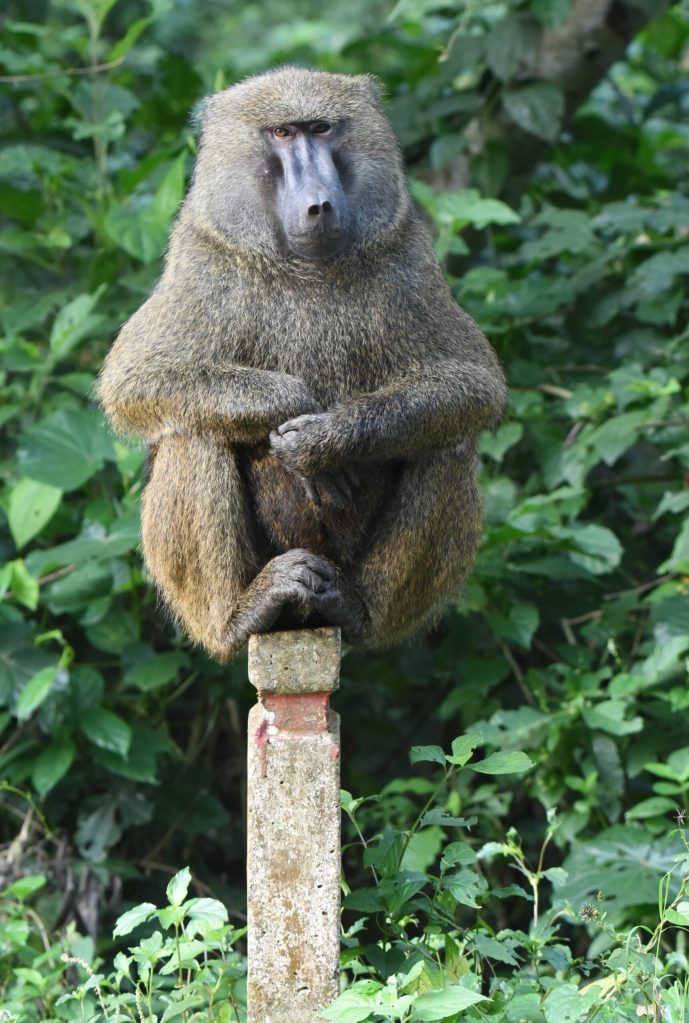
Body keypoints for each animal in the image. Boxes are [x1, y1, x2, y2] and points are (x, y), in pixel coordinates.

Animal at [98, 67, 507, 663]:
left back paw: (357, 612)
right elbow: (136, 379)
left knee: (445, 443)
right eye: (283, 133)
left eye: (322, 128)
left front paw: (325, 440)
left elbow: (472, 383)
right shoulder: (201, 259)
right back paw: (242, 615)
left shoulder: (407, 253)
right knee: (193, 435)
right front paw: (292, 408)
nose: (318, 205)